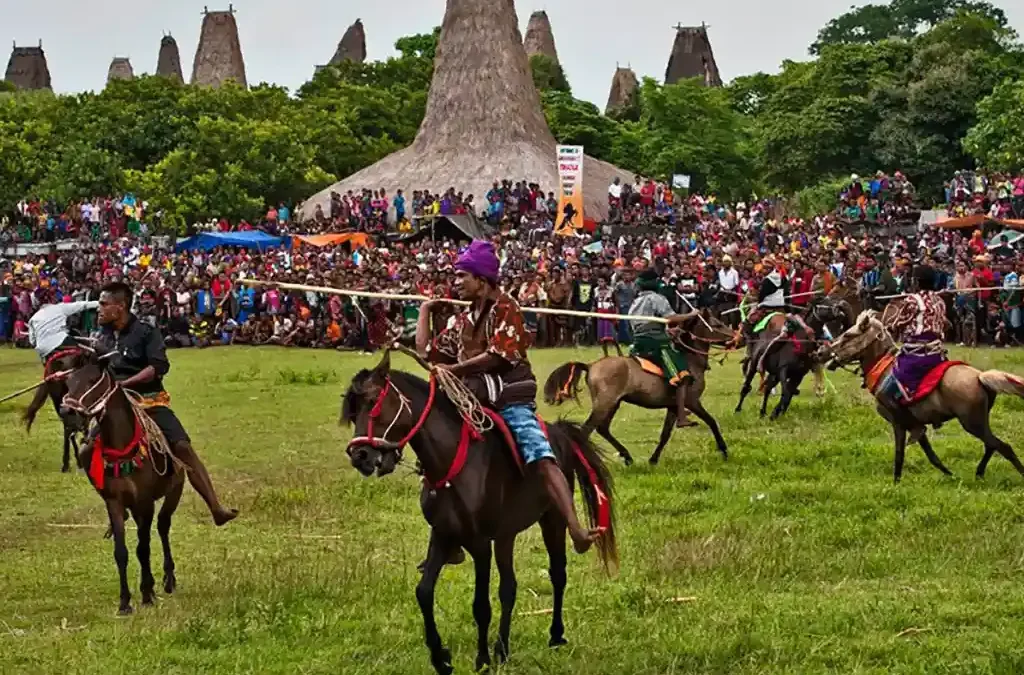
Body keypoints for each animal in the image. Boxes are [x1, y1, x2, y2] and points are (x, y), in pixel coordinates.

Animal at [54, 350, 187, 614]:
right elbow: (122, 552)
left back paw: (168, 579)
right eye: (69, 381)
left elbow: (143, 549)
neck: (123, 448)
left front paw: (146, 594)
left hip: (173, 492)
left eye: (92, 380)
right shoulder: (115, 502)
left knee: (163, 527)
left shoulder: (145, 502)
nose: (67, 412)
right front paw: (125, 602)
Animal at [342, 350, 614, 671]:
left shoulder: (481, 543)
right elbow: (424, 592)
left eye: (373, 401)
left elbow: (480, 605)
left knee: (557, 573)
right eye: (352, 410)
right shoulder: (443, 535)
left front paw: (481, 659)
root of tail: (559, 433)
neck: (453, 461)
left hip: (553, 520)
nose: (360, 456)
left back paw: (555, 634)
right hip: (507, 535)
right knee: (509, 588)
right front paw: (441, 657)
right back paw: (503, 649)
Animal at [544, 309, 737, 467]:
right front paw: (724, 450)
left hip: (613, 403)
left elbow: (665, 434)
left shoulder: (673, 406)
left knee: (602, 428)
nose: (737, 337)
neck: (691, 359)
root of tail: (591, 366)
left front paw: (653, 460)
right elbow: (711, 421)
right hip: (605, 404)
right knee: (585, 432)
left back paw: (627, 456)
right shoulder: (692, 401)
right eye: (717, 325)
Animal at [819, 309, 1024, 483]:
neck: (883, 369)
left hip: (972, 423)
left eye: (848, 335)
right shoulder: (914, 424)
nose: (822, 352)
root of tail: (979, 377)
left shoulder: (898, 422)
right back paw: (979, 473)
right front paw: (950, 474)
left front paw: (896, 482)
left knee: (1002, 447)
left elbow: (899, 453)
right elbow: (931, 455)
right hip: (979, 422)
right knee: (991, 446)